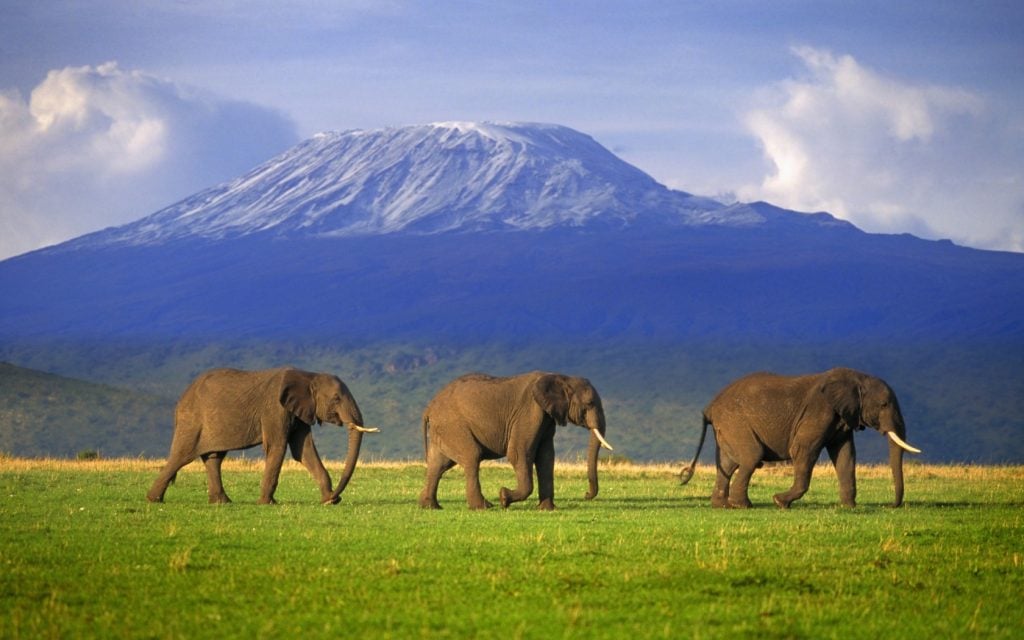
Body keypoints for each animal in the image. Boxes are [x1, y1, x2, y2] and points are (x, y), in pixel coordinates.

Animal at [146, 367, 377, 504]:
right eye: (336, 399)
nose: (336, 497)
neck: (308, 376)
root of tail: (181, 398)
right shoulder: (275, 409)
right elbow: (277, 447)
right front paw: (268, 504)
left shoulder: (299, 412)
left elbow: (303, 450)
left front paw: (328, 501)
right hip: (192, 420)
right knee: (182, 456)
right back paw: (153, 500)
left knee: (214, 458)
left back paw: (222, 502)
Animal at [418, 371, 614, 510]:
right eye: (589, 403)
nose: (586, 494)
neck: (560, 376)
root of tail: (429, 407)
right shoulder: (529, 412)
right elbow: (519, 454)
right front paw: (504, 498)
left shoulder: (546, 417)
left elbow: (546, 458)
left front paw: (547, 509)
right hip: (453, 425)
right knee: (472, 456)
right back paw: (483, 507)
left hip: (444, 428)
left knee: (438, 464)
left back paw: (431, 507)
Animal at [678, 367, 921, 509]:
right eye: (884, 405)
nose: (891, 506)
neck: (857, 378)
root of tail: (710, 406)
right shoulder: (819, 411)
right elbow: (803, 450)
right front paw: (779, 502)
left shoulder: (841, 418)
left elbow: (845, 456)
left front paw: (848, 508)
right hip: (735, 421)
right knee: (751, 458)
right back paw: (743, 506)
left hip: (729, 426)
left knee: (728, 465)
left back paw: (723, 506)